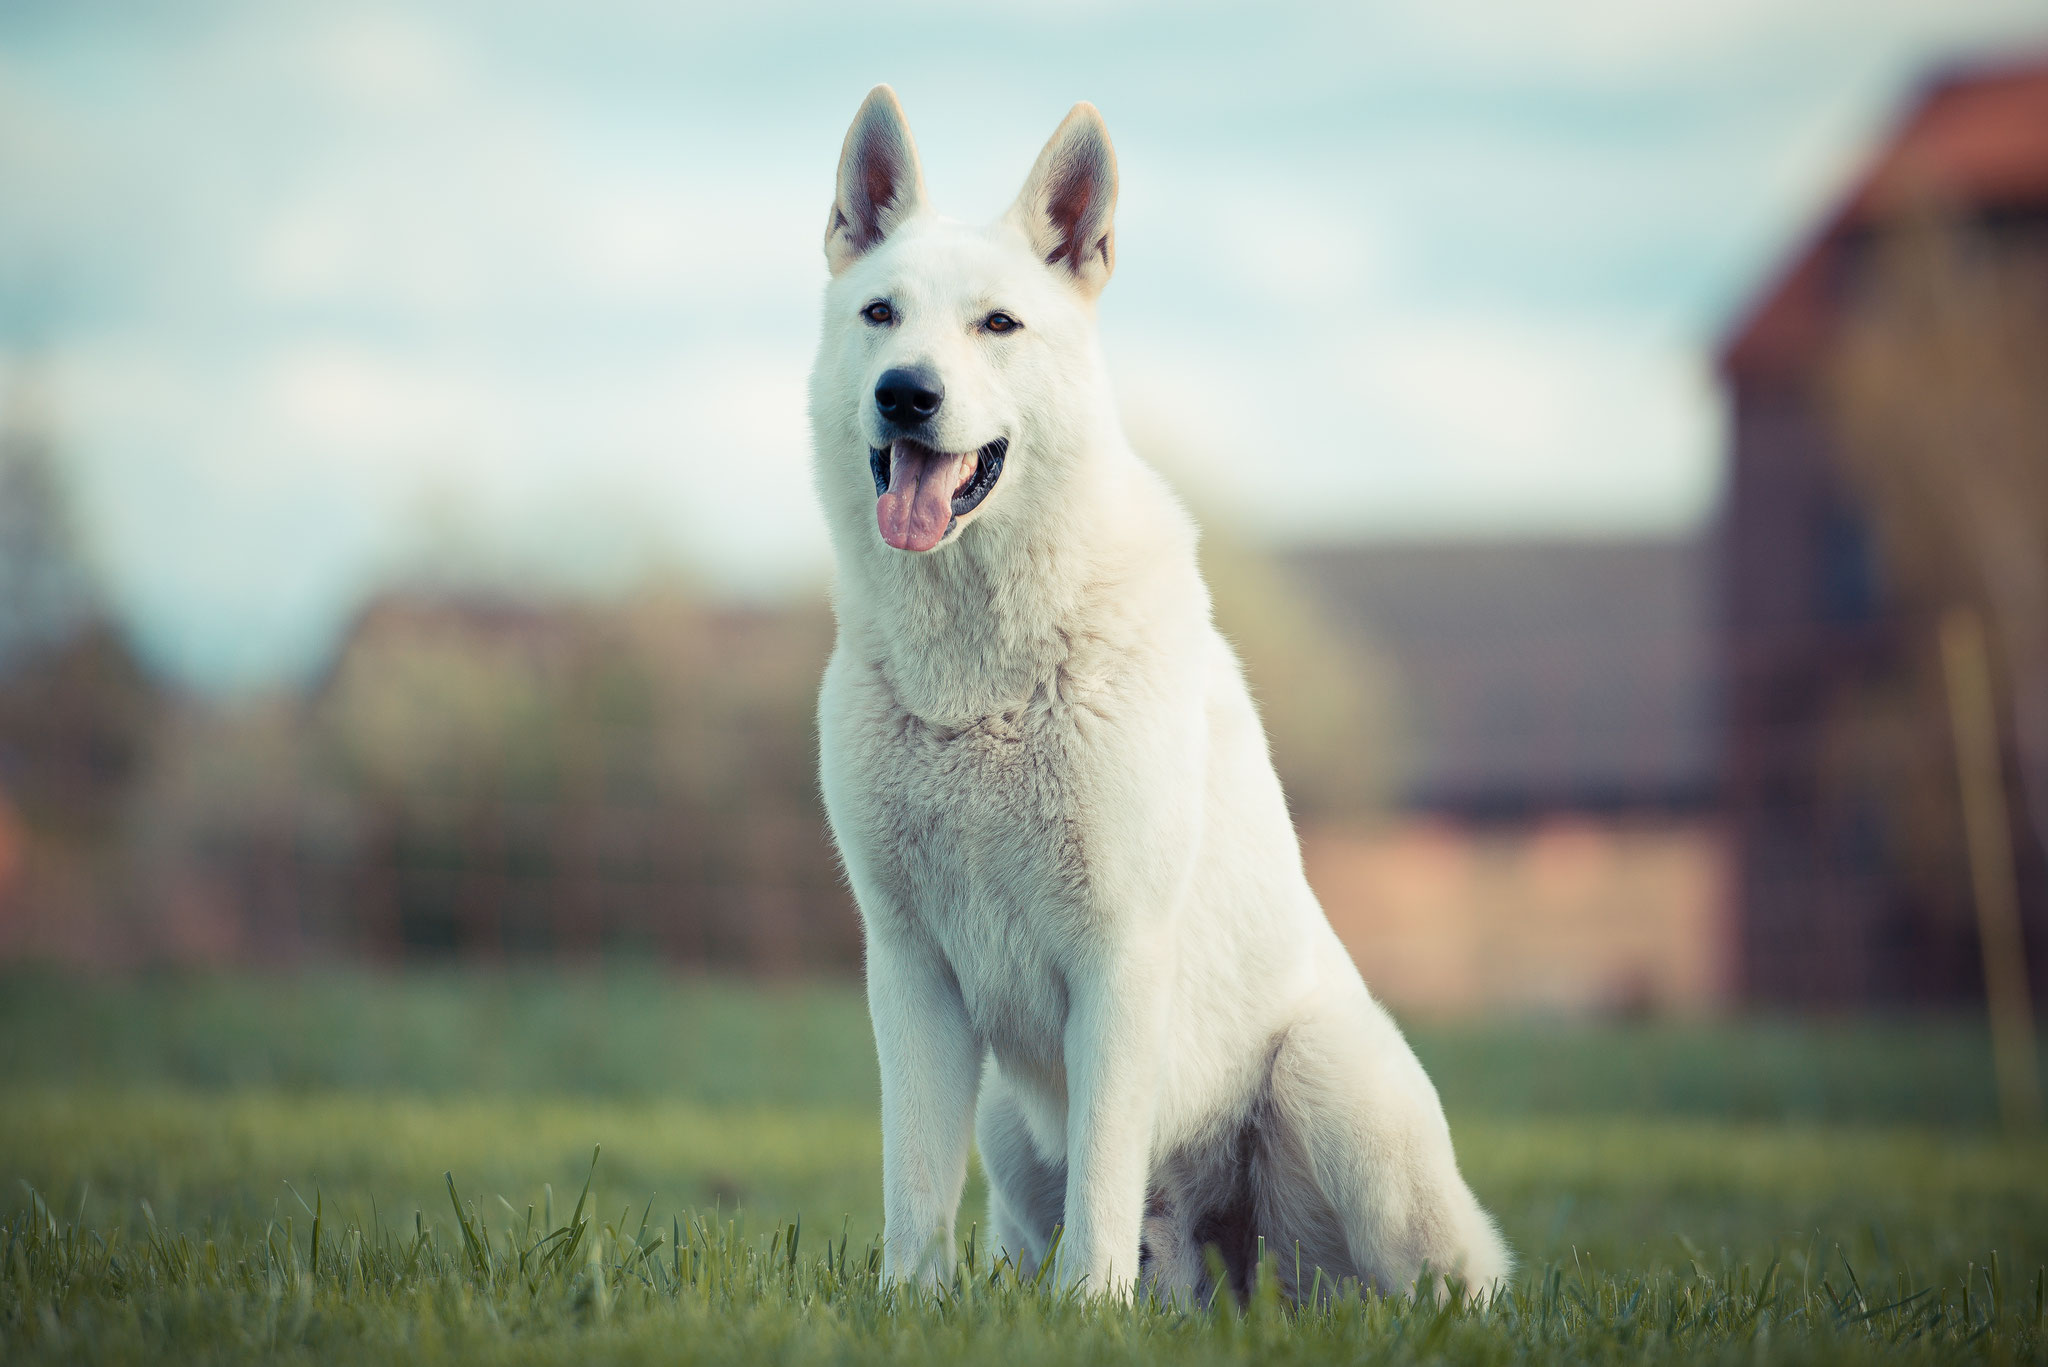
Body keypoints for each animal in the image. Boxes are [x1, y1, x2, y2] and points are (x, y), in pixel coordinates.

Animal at [811, 83, 1507, 1303]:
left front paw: (1086, 1311)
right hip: (1007, 1124)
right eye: (879, 315)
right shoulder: (908, 973)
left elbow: (1102, 1172)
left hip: (1330, 1081)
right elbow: (913, 1190)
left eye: (998, 326)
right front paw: (910, 1308)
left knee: (1434, 1286)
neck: (982, 673)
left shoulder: (1119, 955)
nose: (905, 395)